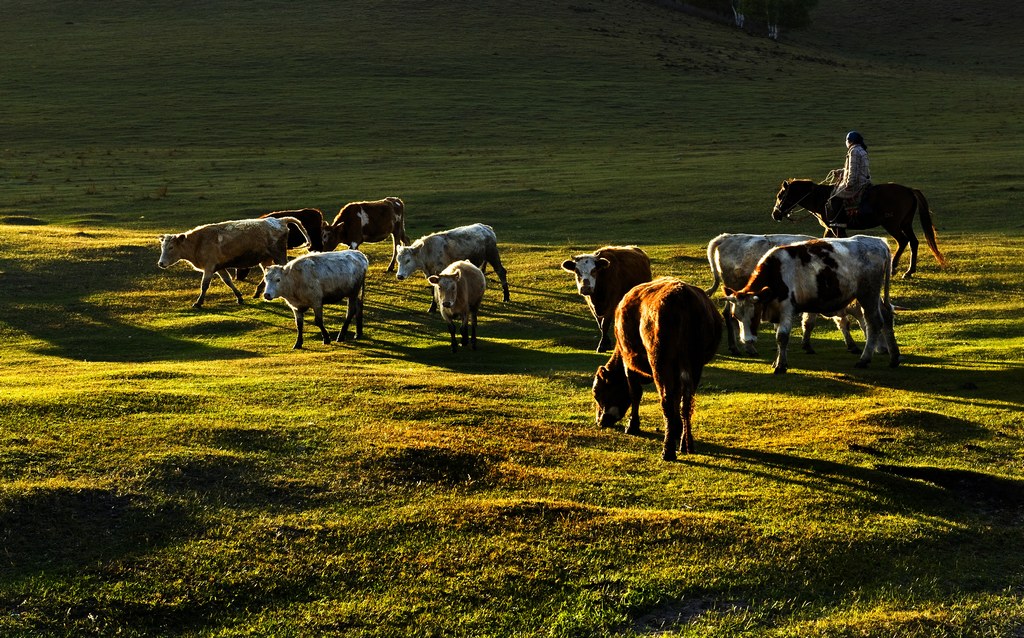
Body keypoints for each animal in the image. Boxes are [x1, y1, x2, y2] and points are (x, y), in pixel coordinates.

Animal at [155, 216, 311, 309]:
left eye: (171, 247)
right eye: (162, 247)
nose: (161, 263)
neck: (198, 242)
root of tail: (279, 221)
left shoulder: (209, 267)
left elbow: (204, 285)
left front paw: (198, 302)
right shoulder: (218, 267)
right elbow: (228, 281)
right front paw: (239, 297)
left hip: (278, 254)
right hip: (265, 258)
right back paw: (258, 291)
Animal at [589, 276, 724, 460]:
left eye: (597, 392)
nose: (600, 421)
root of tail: (682, 296)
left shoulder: (628, 363)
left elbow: (635, 393)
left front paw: (632, 425)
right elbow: (677, 399)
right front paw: (676, 430)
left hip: (660, 362)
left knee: (666, 400)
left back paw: (668, 450)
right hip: (695, 363)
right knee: (686, 402)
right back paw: (686, 443)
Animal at [708, 232, 868, 356]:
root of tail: (726, 237)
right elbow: (818, 322)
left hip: (733, 296)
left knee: (728, 315)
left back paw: (735, 347)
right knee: (732, 317)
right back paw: (748, 348)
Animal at [724, 235, 901, 374]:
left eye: (754, 314)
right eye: (736, 316)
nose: (747, 340)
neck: (776, 272)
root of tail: (878, 242)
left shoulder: (787, 308)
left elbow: (782, 337)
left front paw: (781, 366)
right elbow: (778, 337)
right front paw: (777, 362)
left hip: (868, 295)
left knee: (874, 323)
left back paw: (864, 360)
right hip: (874, 297)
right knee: (886, 317)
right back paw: (894, 358)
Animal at [770, 180, 946, 278]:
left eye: (780, 196)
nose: (775, 214)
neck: (822, 199)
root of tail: (909, 190)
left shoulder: (837, 228)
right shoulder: (831, 227)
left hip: (892, 224)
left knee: (903, 241)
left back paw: (895, 268)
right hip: (905, 223)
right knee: (913, 242)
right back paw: (909, 271)